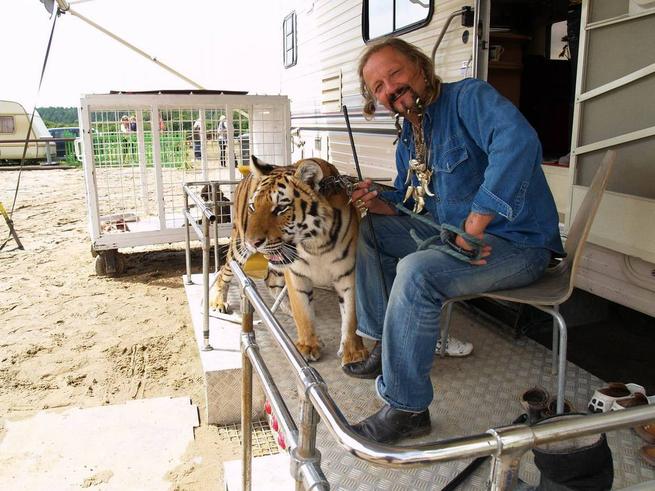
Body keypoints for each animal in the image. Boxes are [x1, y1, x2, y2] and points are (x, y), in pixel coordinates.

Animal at [209, 155, 369, 367]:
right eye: (253, 207)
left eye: (280, 208)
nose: (253, 242)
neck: (316, 244)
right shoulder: (297, 273)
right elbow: (303, 313)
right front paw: (308, 346)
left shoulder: (348, 275)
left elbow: (351, 318)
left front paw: (354, 354)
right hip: (239, 247)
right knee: (224, 270)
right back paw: (219, 302)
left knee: (271, 282)